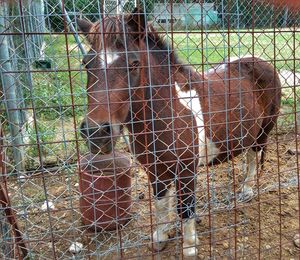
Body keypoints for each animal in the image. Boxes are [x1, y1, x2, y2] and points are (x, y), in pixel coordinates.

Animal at [77, 7, 282, 256]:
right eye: (86, 64)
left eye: (134, 63)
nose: (97, 133)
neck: (169, 111)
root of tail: (261, 61)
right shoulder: (155, 170)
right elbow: (161, 204)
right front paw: (161, 237)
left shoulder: (186, 171)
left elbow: (185, 208)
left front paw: (190, 247)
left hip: (264, 132)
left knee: (254, 157)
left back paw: (247, 189)